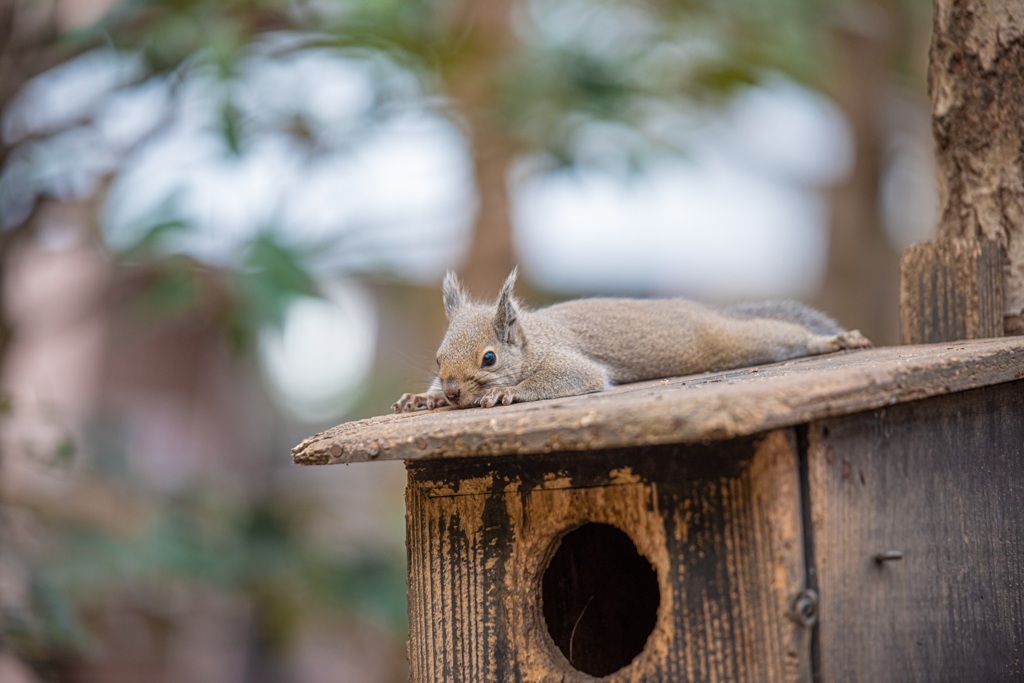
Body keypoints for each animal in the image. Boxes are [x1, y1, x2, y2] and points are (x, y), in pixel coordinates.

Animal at [391, 270, 872, 413]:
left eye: (489, 359)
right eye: (437, 360)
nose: (453, 391)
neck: (530, 341)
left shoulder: (569, 361)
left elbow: (574, 376)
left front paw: (505, 393)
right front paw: (423, 398)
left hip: (728, 341)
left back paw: (830, 341)